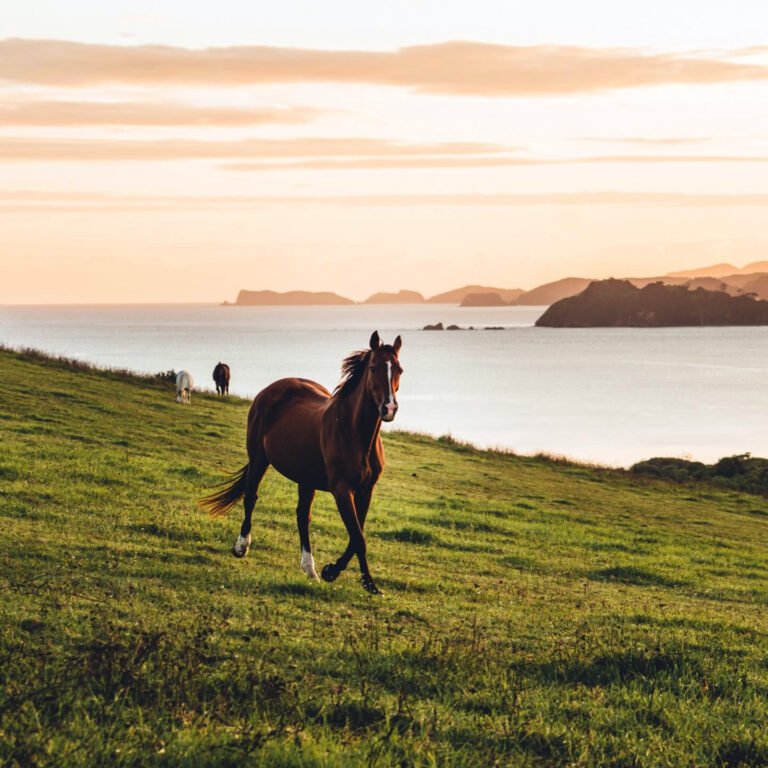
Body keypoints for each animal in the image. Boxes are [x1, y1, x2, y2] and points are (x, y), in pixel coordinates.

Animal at [200, 331, 402, 594]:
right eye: (373, 367)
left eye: (399, 369)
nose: (389, 408)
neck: (354, 433)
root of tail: (270, 390)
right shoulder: (341, 489)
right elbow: (358, 537)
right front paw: (360, 580)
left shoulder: (366, 490)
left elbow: (356, 535)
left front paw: (336, 573)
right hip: (259, 459)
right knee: (251, 497)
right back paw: (242, 547)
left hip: (306, 478)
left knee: (302, 516)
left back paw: (310, 569)